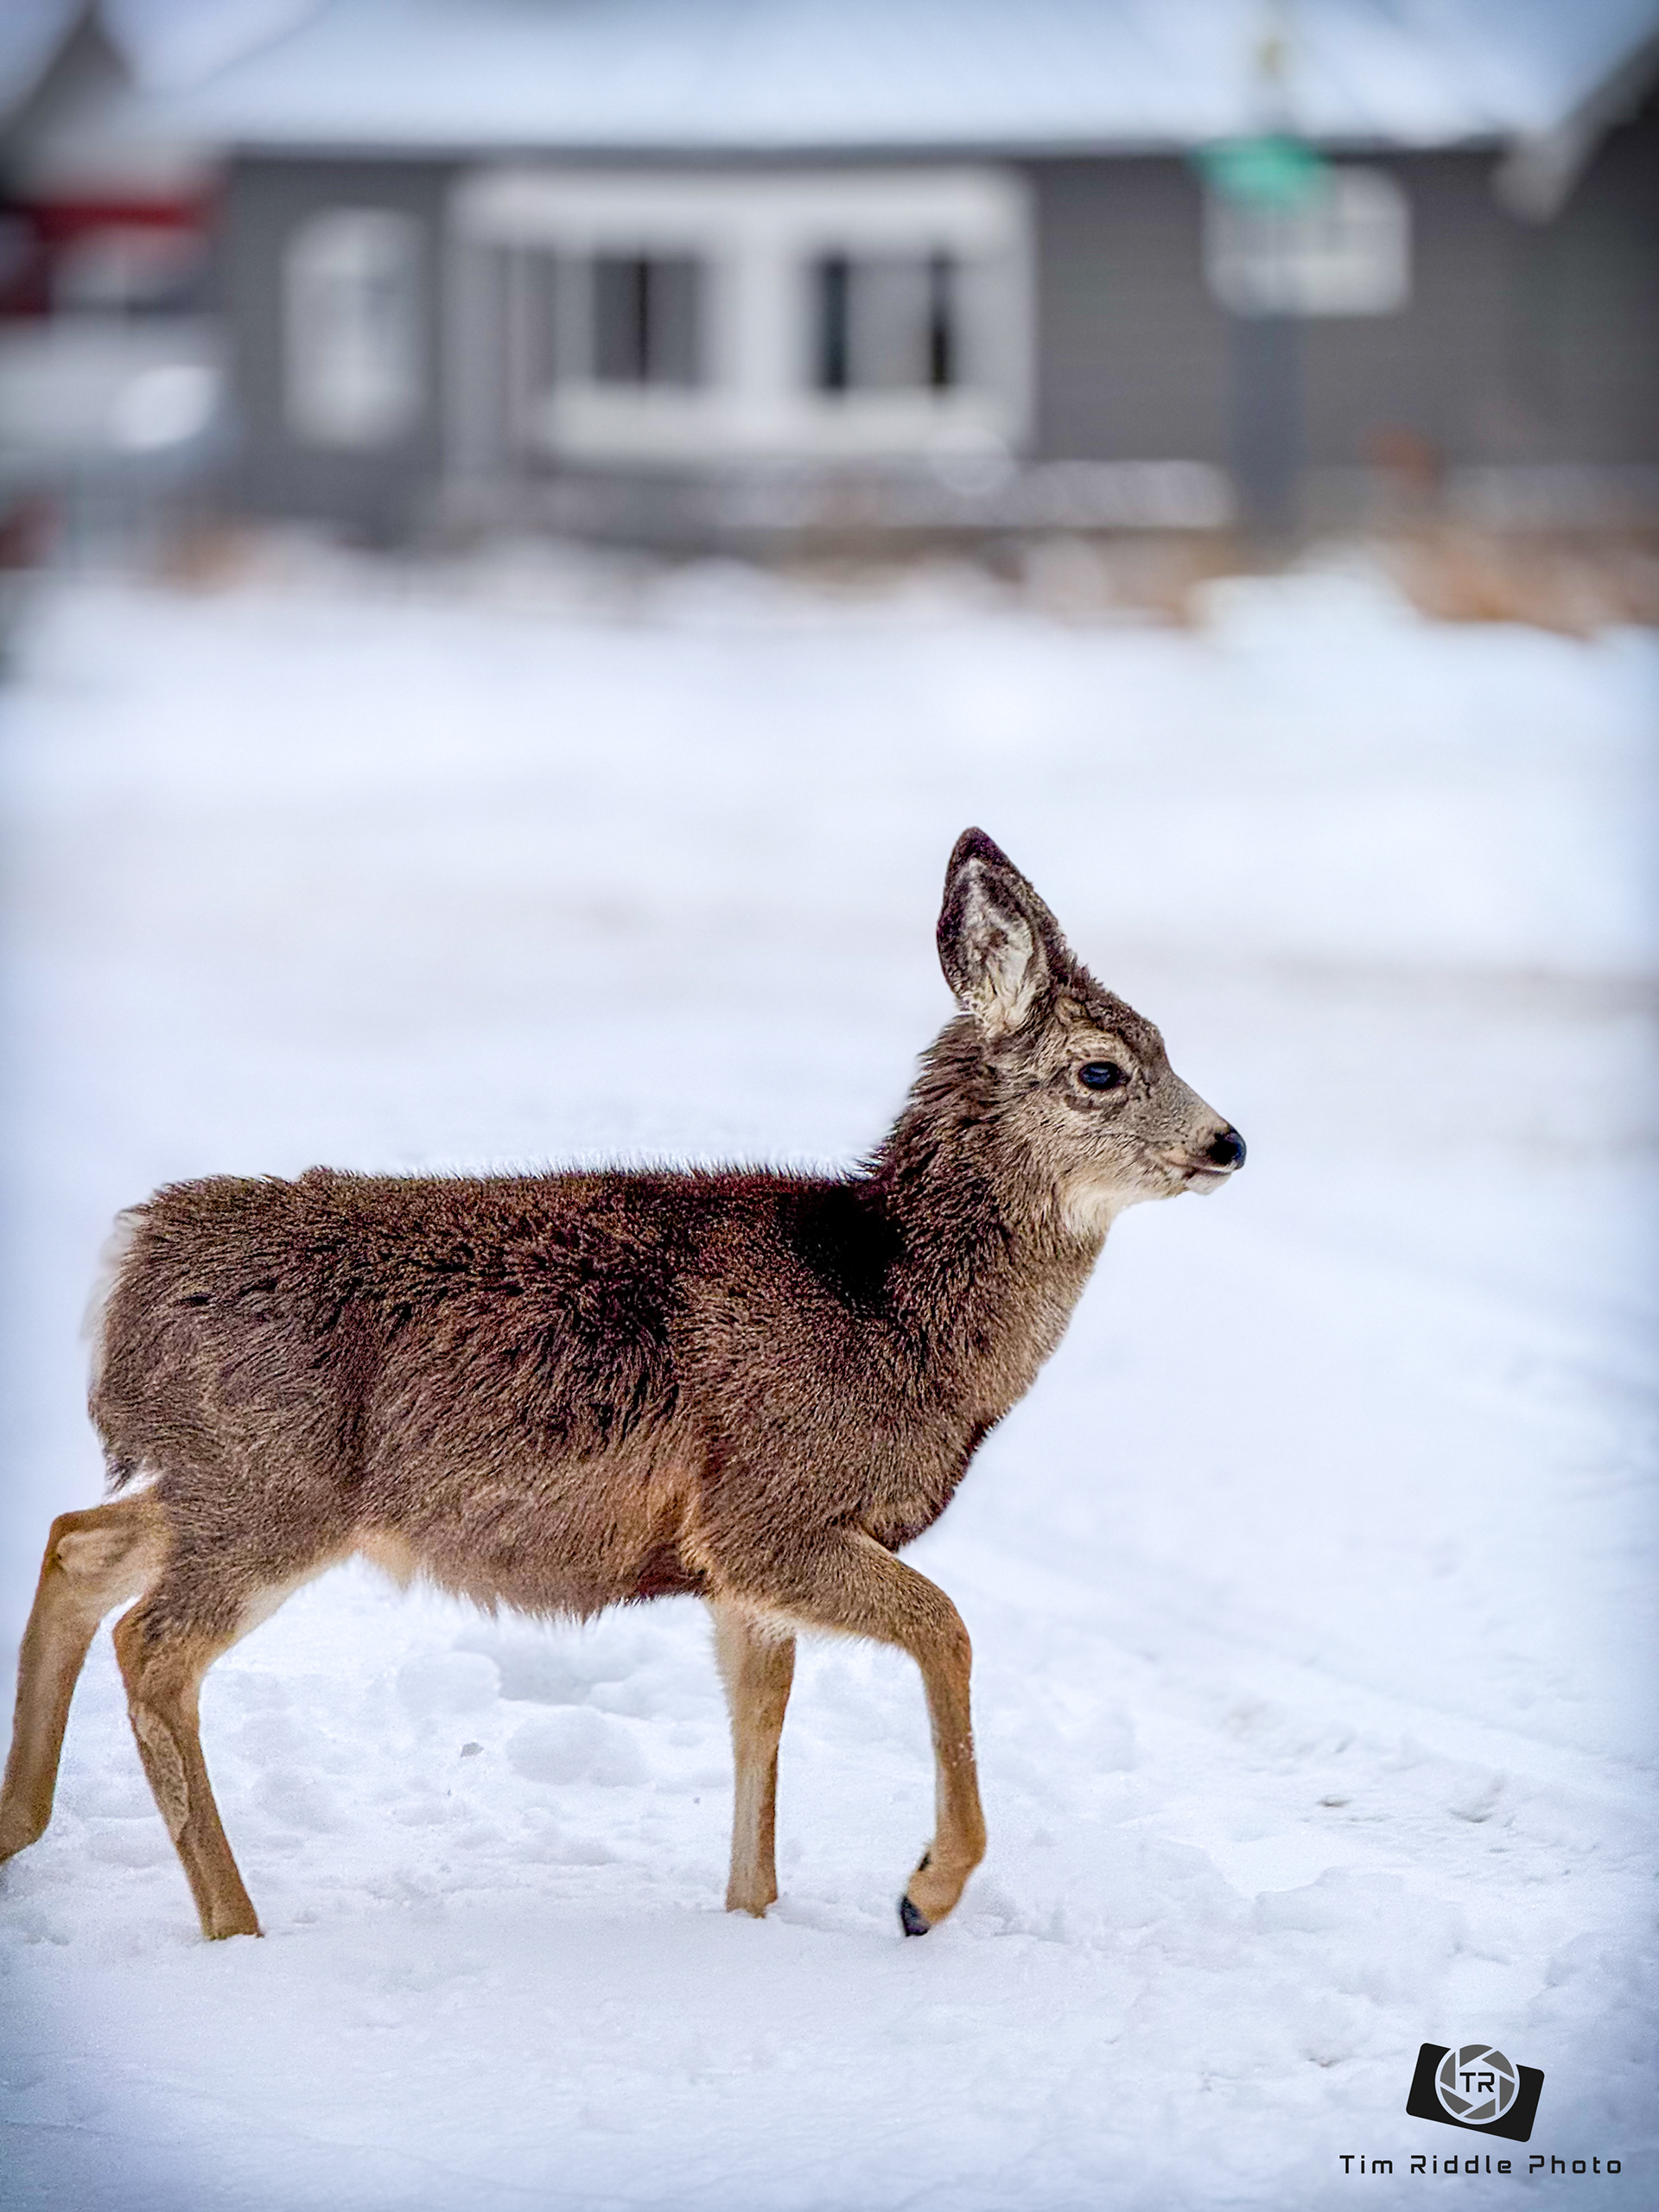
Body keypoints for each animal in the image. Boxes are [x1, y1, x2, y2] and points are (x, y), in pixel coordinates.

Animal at [0, 828, 1243, 1943]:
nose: (1229, 1142)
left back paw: (18, 1829)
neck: (895, 1313)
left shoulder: (733, 1567)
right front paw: (924, 1892)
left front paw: (753, 1918)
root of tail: (128, 1264)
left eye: (1166, 1043)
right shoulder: (767, 1510)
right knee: (153, 1646)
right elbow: (946, 1627)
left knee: (78, 1542)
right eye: (1102, 1070)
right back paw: (235, 1926)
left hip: (215, 1478)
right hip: (274, 1488)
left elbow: (761, 1721)